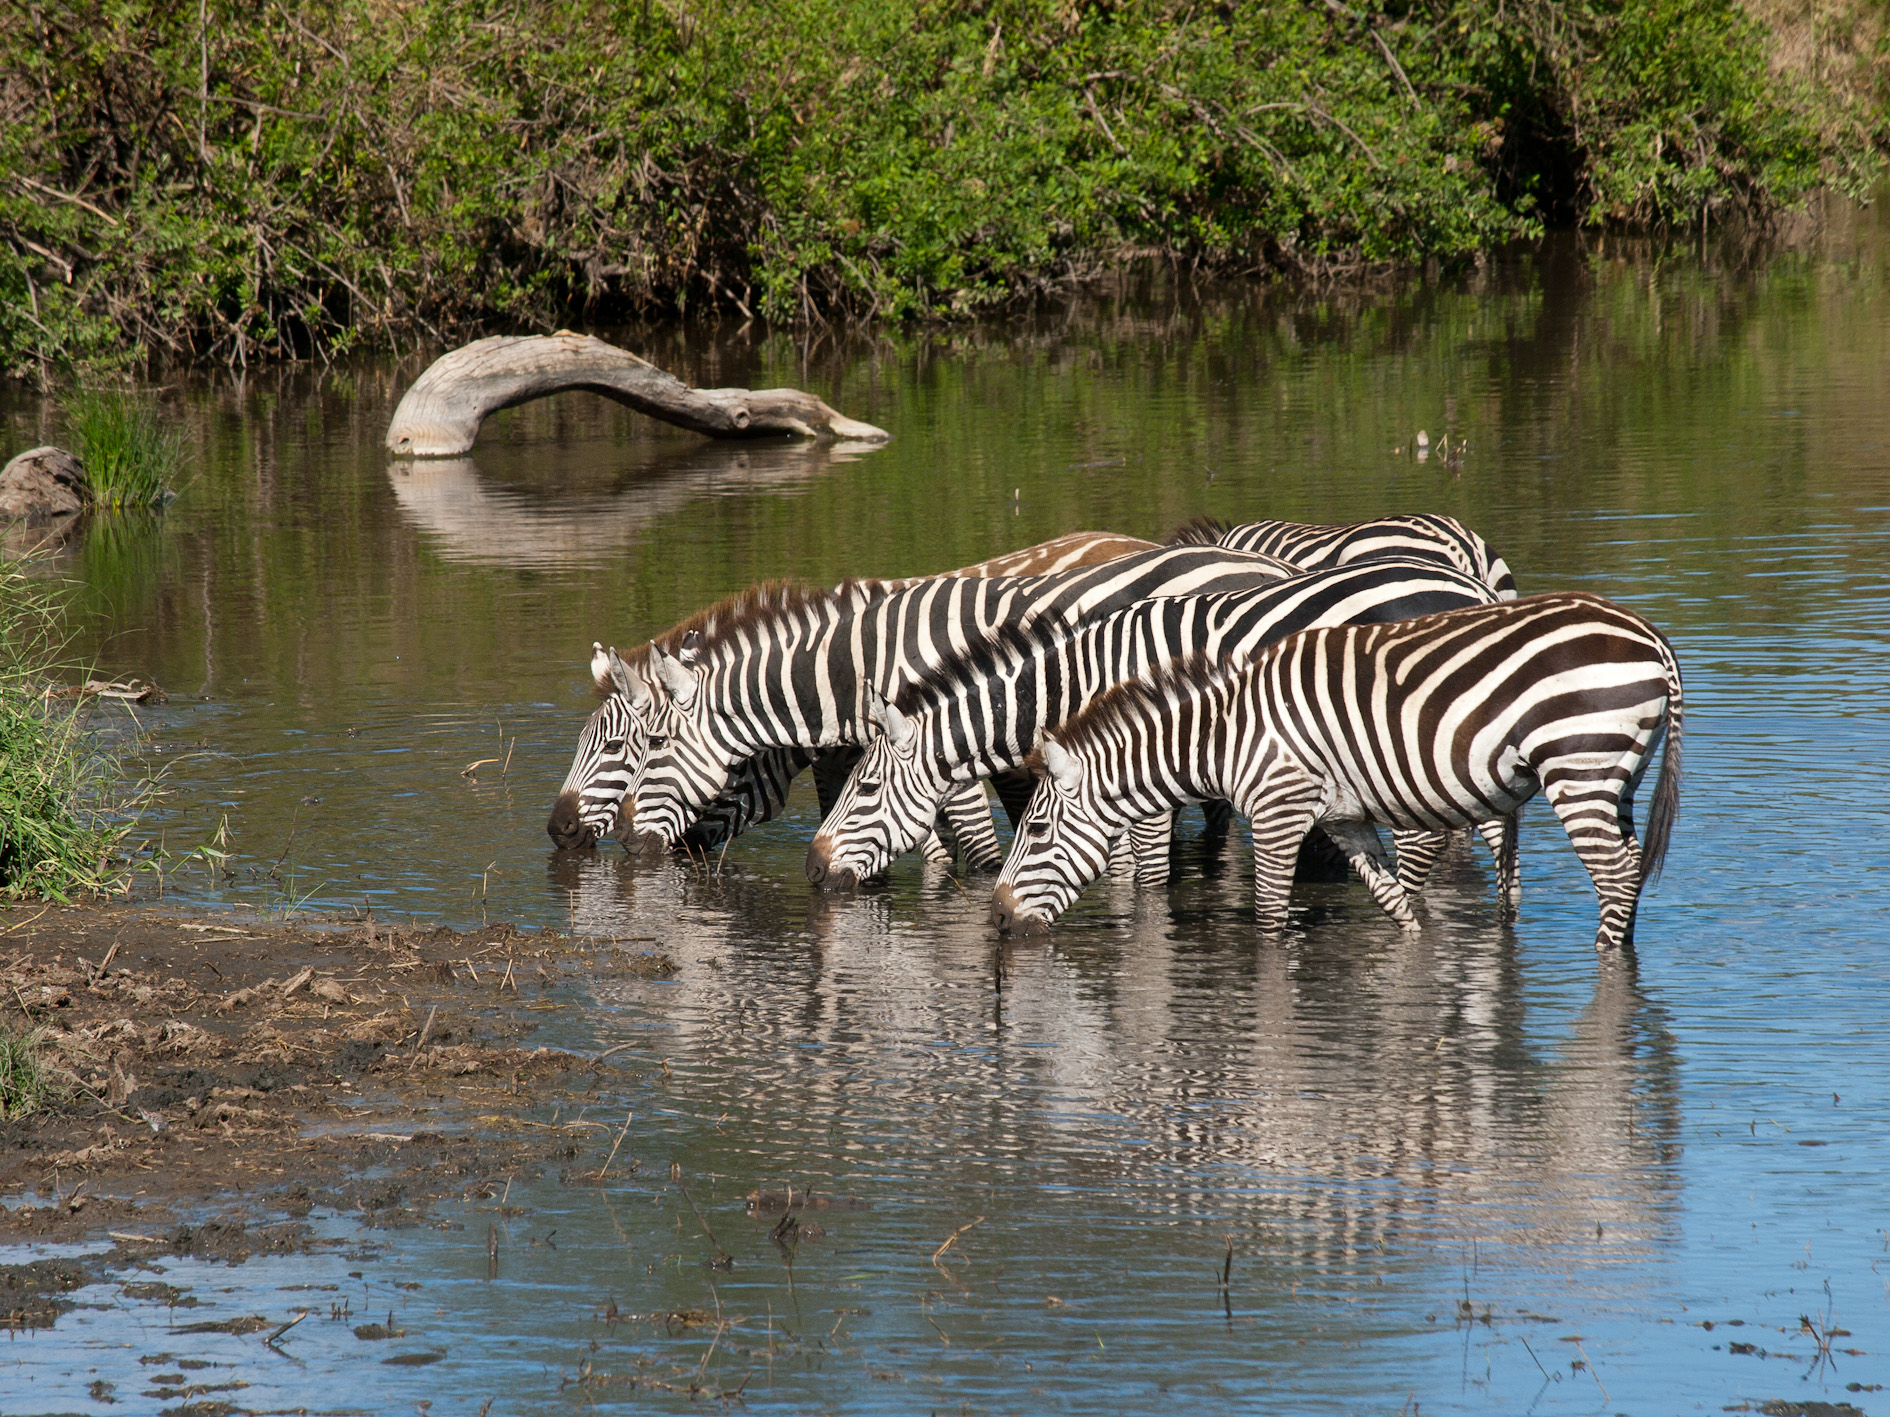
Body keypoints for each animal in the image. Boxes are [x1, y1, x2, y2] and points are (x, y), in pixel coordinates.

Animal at [628, 544, 1303, 851]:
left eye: (655, 746)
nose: (639, 848)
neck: (865, 663)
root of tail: (1270, 568)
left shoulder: (946, 755)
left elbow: (971, 845)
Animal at [805, 559, 1517, 893]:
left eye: (864, 790)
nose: (811, 871)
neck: (1078, 682)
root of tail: (1470, 588)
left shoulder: (1138, 777)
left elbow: (1141, 876)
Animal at [990, 592, 1682, 952]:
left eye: (1037, 830)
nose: (996, 919)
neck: (1225, 738)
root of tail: (1649, 635)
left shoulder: (1277, 812)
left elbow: (1271, 923)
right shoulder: (1344, 818)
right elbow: (1396, 905)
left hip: (1579, 766)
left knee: (1616, 877)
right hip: (1619, 776)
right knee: (1628, 872)